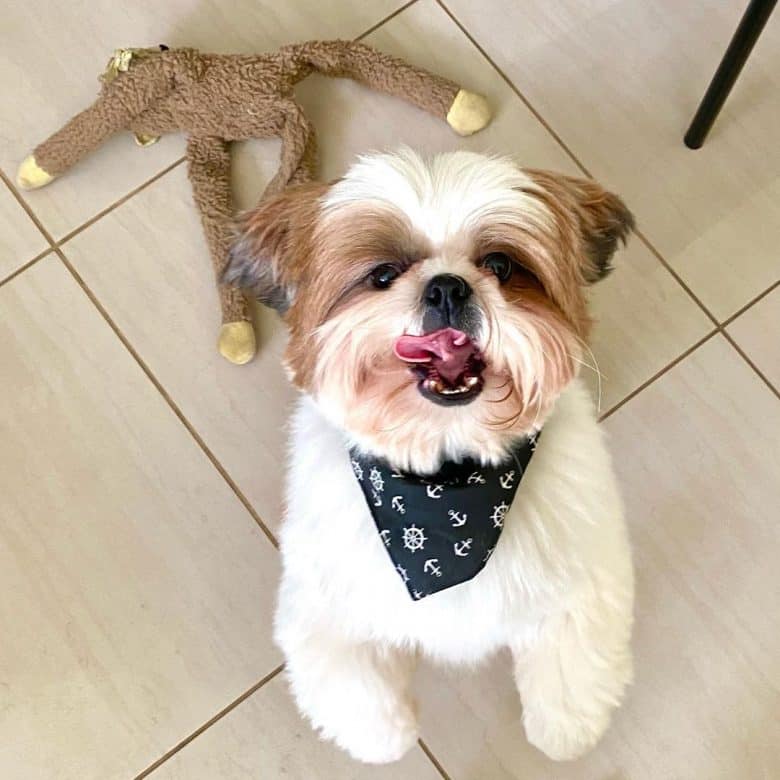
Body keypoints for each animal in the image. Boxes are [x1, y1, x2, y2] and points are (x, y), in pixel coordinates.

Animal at [224, 146, 632, 760]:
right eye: (382, 275)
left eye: (501, 265)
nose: (446, 287)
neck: (448, 488)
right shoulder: (327, 601)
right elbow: (352, 685)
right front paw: (385, 740)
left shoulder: (583, 575)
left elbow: (573, 662)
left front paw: (563, 732)